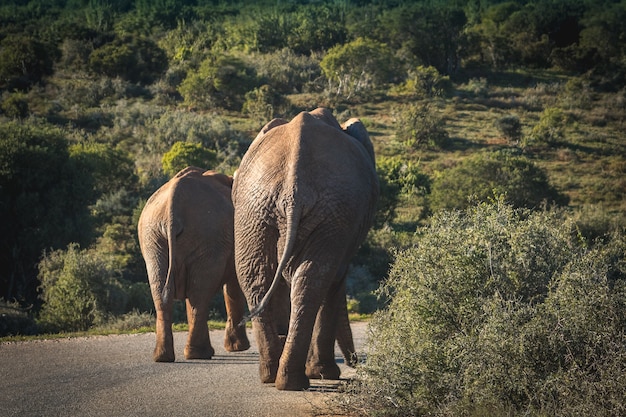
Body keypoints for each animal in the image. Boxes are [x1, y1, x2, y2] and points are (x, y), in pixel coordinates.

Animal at [138, 166, 249, 360]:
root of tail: (173, 206)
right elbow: (234, 287)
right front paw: (239, 348)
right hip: (203, 236)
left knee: (165, 292)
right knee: (199, 294)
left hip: (154, 238)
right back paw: (198, 354)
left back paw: (165, 357)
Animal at [229, 107, 376, 390]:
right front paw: (324, 374)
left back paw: (275, 377)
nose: (355, 362)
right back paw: (302, 378)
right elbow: (334, 282)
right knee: (314, 280)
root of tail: (293, 190)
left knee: (257, 276)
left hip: (256, 210)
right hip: (317, 211)